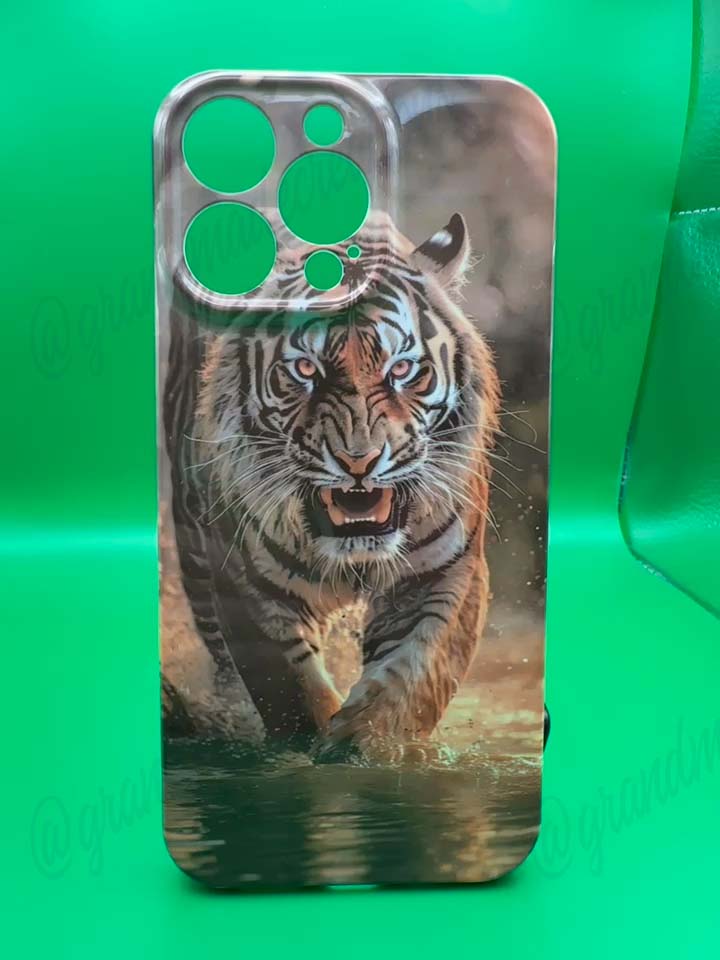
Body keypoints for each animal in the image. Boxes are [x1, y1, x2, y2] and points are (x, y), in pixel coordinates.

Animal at [163, 210, 500, 755]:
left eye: (402, 369)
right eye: (306, 369)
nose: (358, 461)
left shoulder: (445, 571)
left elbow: (415, 677)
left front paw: (366, 746)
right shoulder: (245, 581)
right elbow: (290, 690)